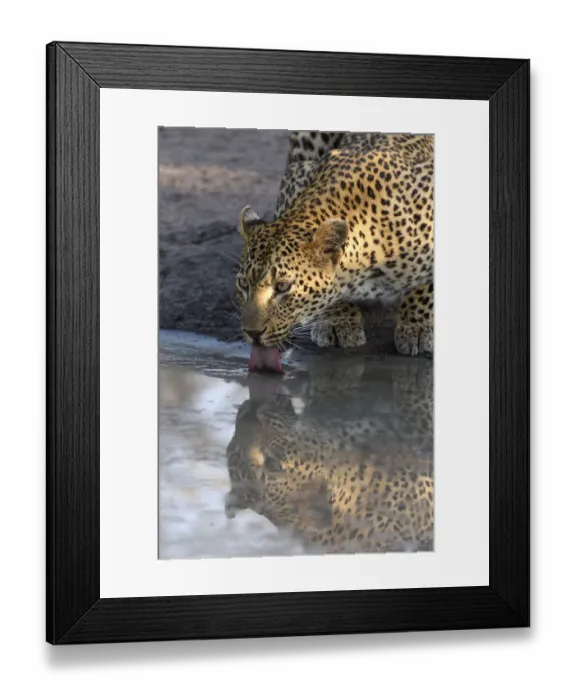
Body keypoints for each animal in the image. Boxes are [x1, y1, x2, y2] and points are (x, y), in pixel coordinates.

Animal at [236, 130, 434, 358]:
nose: (252, 333)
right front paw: (337, 321)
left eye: (283, 287)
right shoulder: (296, 174)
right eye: (243, 284)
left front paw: (416, 325)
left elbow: (426, 286)